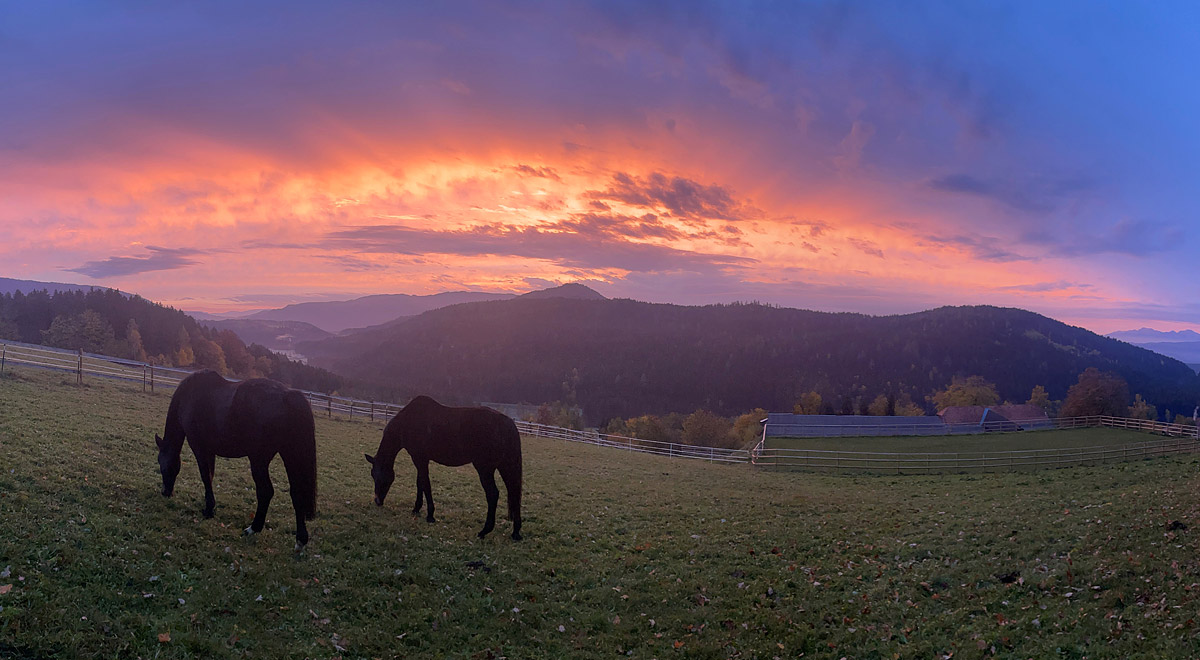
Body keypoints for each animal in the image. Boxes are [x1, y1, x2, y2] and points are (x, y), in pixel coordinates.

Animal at [156, 369, 319, 552]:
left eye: (161, 464)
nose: (165, 492)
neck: (189, 396)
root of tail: (288, 395)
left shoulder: (199, 448)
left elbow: (205, 477)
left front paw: (208, 509)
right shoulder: (210, 451)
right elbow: (210, 476)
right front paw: (210, 507)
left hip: (259, 460)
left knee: (266, 491)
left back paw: (253, 528)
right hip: (290, 455)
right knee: (297, 494)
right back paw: (300, 541)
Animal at [367, 396, 523, 540]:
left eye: (380, 476)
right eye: (372, 475)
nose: (377, 501)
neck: (408, 421)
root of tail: (509, 424)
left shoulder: (419, 458)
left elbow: (425, 484)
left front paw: (430, 515)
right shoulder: (421, 460)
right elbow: (420, 483)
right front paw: (416, 509)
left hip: (485, 469)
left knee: (493, 494)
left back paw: (484, 531)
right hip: (505, 467)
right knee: (514, 492)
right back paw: (515, 533)